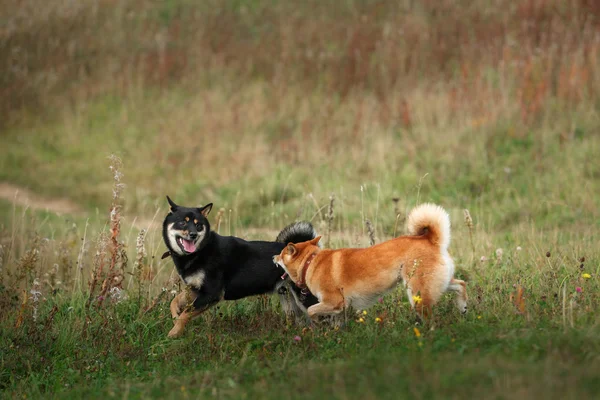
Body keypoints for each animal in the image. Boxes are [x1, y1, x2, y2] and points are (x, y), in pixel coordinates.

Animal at [159, 197, 318, 338]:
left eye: (198, 226)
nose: (193, 235)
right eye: (182, 223)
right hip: (290, 300)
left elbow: (186, 313)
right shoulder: (196, 289)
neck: (201, 250)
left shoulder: (211, 293)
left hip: (306, 300)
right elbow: (174, 302)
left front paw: (173, 333)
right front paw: (175, 316)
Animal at [274, 203, 468, 318]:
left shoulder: (334, 302)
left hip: (418, 294)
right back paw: (463, 307)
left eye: (282, 254)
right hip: (438, 283)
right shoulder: (341, 308)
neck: (311, 262)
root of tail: (431, 240)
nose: (273, 257)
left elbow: (311, 310)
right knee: (461, 284)